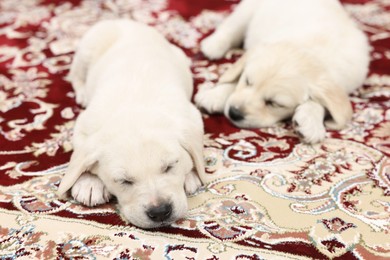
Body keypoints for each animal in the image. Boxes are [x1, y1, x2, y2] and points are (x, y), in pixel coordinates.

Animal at [58, 19, 204, 229]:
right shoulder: (84, 125)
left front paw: (191, 174)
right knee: (75, 75)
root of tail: (126, 21)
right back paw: (83, 92)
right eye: (124, 181)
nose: (160, 212)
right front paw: (89, 182)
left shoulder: (192, 116)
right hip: (87, 48)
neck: (134, 110)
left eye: (170, 167)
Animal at [197, 0, 370, 143]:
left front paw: (310, 122)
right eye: (247, 81)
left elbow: (320, 102)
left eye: (274, 104)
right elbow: (235, 79)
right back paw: (213, 45)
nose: (234, 113)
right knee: (231, 27)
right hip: (247, 9)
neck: (308, 50)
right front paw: (214, 95)